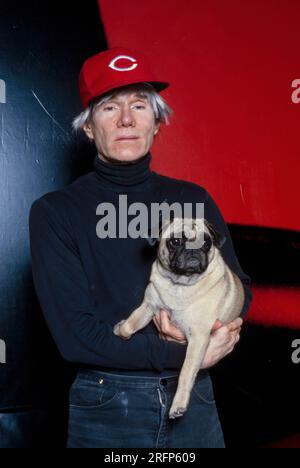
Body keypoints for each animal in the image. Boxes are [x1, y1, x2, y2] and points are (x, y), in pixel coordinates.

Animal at [113, 218, 245, 418]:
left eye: (207, 243)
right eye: (176, 241)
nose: (193, 249)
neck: (180, 285)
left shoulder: (198, 338)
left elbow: (186, 373)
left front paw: (178, 405)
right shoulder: (149, 306)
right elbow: (130, 324)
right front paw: (121, 330)